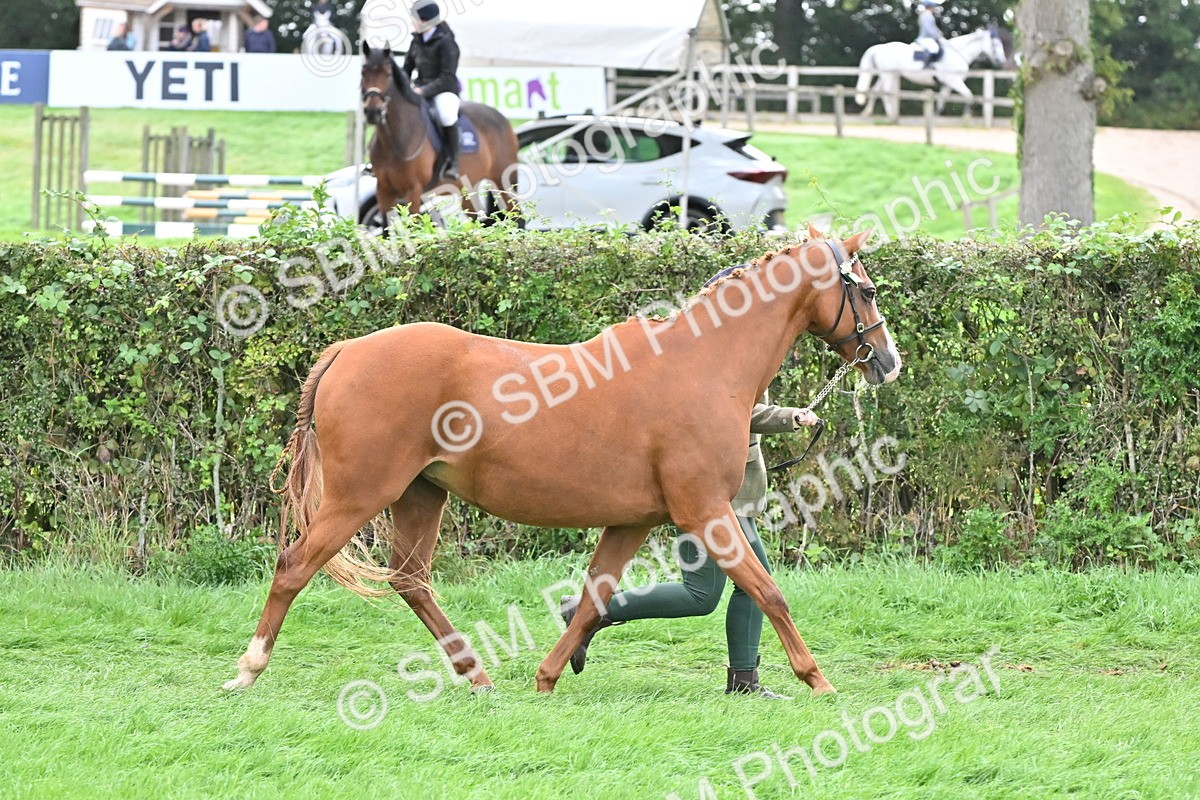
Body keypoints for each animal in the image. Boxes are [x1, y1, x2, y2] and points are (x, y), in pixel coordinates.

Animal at [220, 225, 902, 697]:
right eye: (866, 290)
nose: (888, 362)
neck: (701, 365)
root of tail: (346, 350)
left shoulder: (633, 522)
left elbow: (596, 598)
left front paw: (548, 676)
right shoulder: (705, 512)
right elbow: (768, 592)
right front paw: (818, 681)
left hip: (421, 494)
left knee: (411, 580)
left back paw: (477, 676)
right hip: (360, 496)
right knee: (294, 567)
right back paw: (248, 669)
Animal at [360, 42, 519, 232]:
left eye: (388, 74)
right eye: (363, 72)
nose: (372, 112)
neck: (395, 141)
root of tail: (502, 119)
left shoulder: (413, 190)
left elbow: (413, 228)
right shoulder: (383, 189)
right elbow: (385, 230)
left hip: (504, 182)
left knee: (516, 216)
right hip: (467, 189)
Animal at [855, 27, 1010, 121]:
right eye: (995, 44)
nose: (1001, 60)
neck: (958, 53)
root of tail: (878, 48)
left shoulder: (948, 84)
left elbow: (942, 99)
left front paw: (935, 116)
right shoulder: (955, 81)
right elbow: (969, 96)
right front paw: (966, 117)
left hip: (886, 75)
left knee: (875, 91)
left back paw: (867, 113)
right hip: (888, 75)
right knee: (886, 93)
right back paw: (891, 115)